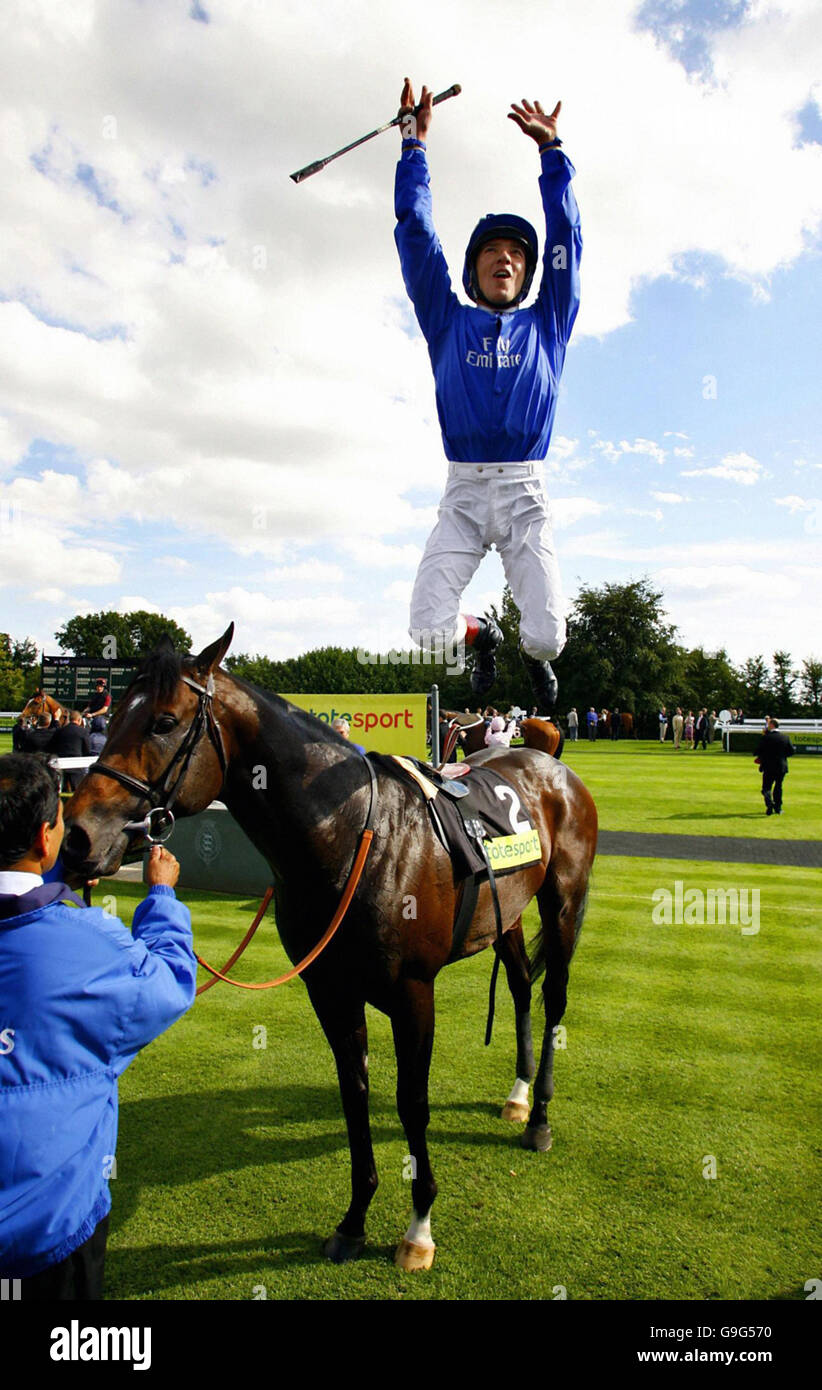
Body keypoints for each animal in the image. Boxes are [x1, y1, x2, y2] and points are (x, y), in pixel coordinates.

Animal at [62, 628, 598, 1273]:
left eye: (164, 721)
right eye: (114, 714)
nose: (78, 835)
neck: (354, 836)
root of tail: (550, 761)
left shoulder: (413, 993)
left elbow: (411, 1101)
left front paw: (419, 1226)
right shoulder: (330, 990)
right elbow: (354, 1093)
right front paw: (354, 1220)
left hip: (563, 902)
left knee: (553, 999)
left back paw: (539, 1117)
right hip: (507, 913)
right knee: (520, 986)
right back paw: (517, 1096)